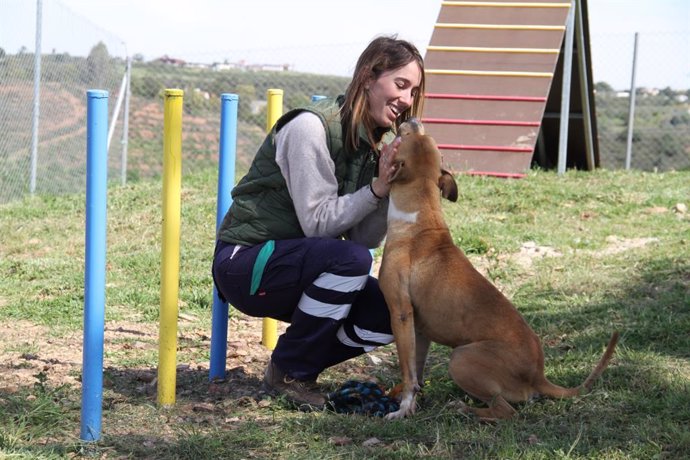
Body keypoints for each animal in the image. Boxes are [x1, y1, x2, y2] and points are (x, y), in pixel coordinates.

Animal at [376, 117, 620, 420]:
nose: (412, 118)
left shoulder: (400, 314)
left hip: (461, 358)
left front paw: (401, 409)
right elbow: (416, 371)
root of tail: (538, 375)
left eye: (407, 137)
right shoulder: (419, 329)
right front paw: (411, 405)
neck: (419, 219)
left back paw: (464, 409)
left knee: (505, 410)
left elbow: (408, 372)